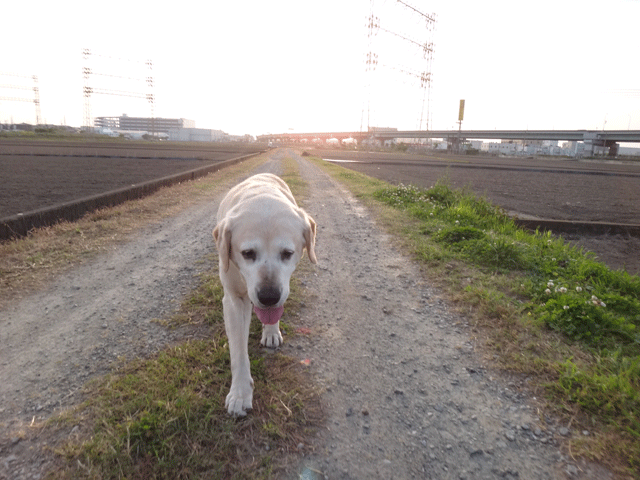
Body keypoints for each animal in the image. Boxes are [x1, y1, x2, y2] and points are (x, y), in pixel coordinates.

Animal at [214, 173, 316, 416]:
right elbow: (238, 352)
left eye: (287, 253)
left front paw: (270, 331)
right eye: (247, 253)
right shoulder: (234, 300)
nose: (269, 297)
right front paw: (240, 393)